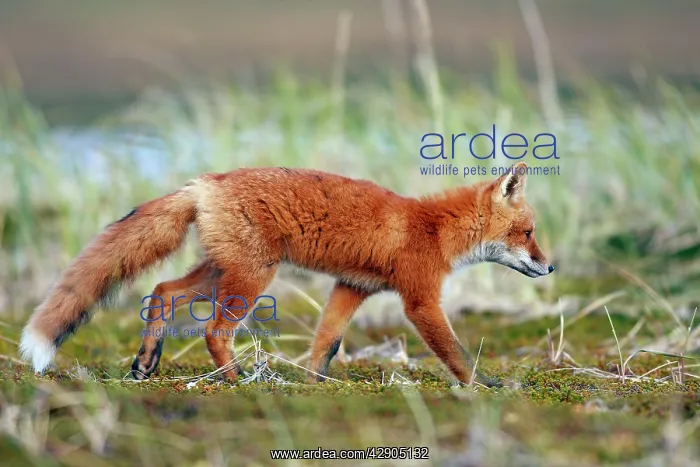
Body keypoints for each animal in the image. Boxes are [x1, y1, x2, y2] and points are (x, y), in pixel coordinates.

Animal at [19, 161, 553, 387]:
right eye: (528, 232)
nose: (551, 266)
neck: (434, 228)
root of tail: (205, 182)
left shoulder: (352, 287)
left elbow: (327, 342)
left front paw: (314, 382)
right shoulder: (420, 300)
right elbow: (457, 353)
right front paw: (486, 387)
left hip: (222, 269)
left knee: (162, 291)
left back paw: (146, 362)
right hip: (253, 278)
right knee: (214, 331)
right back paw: (238, 379)